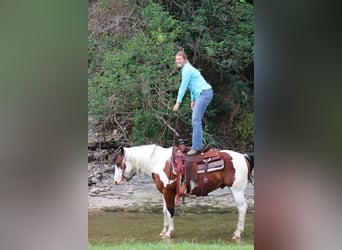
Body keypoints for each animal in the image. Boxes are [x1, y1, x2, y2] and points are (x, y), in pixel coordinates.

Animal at [115, 145, 254, 240]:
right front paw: (164, 231)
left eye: (118, 163)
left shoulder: (168, 192)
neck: (158, 162)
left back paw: (237, 233)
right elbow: (165, 210)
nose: (116, 182)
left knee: (242, 208)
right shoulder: (164, 193)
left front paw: (169, 232)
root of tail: (244, 156)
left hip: (237, 190)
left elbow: (170, 211)